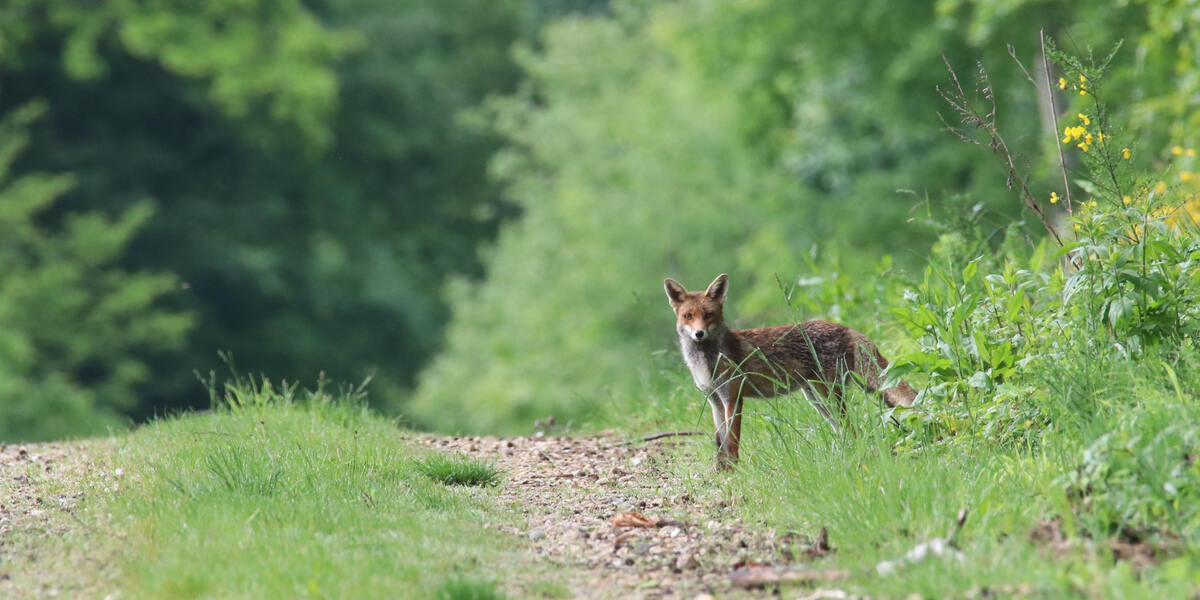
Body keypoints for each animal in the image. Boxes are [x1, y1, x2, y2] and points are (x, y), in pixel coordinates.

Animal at [664, 273, 917, 468]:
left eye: (708, 315)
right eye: (688, 316)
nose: (699, 334)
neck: (707, 362)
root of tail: (845, 327)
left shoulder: (733, 398)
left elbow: (732, 443)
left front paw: (735, 472)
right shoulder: (715, 401)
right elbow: (720, 443)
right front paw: (721, 471)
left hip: (827, 395)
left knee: (853, 429)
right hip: (817, 399)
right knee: (847, 431)